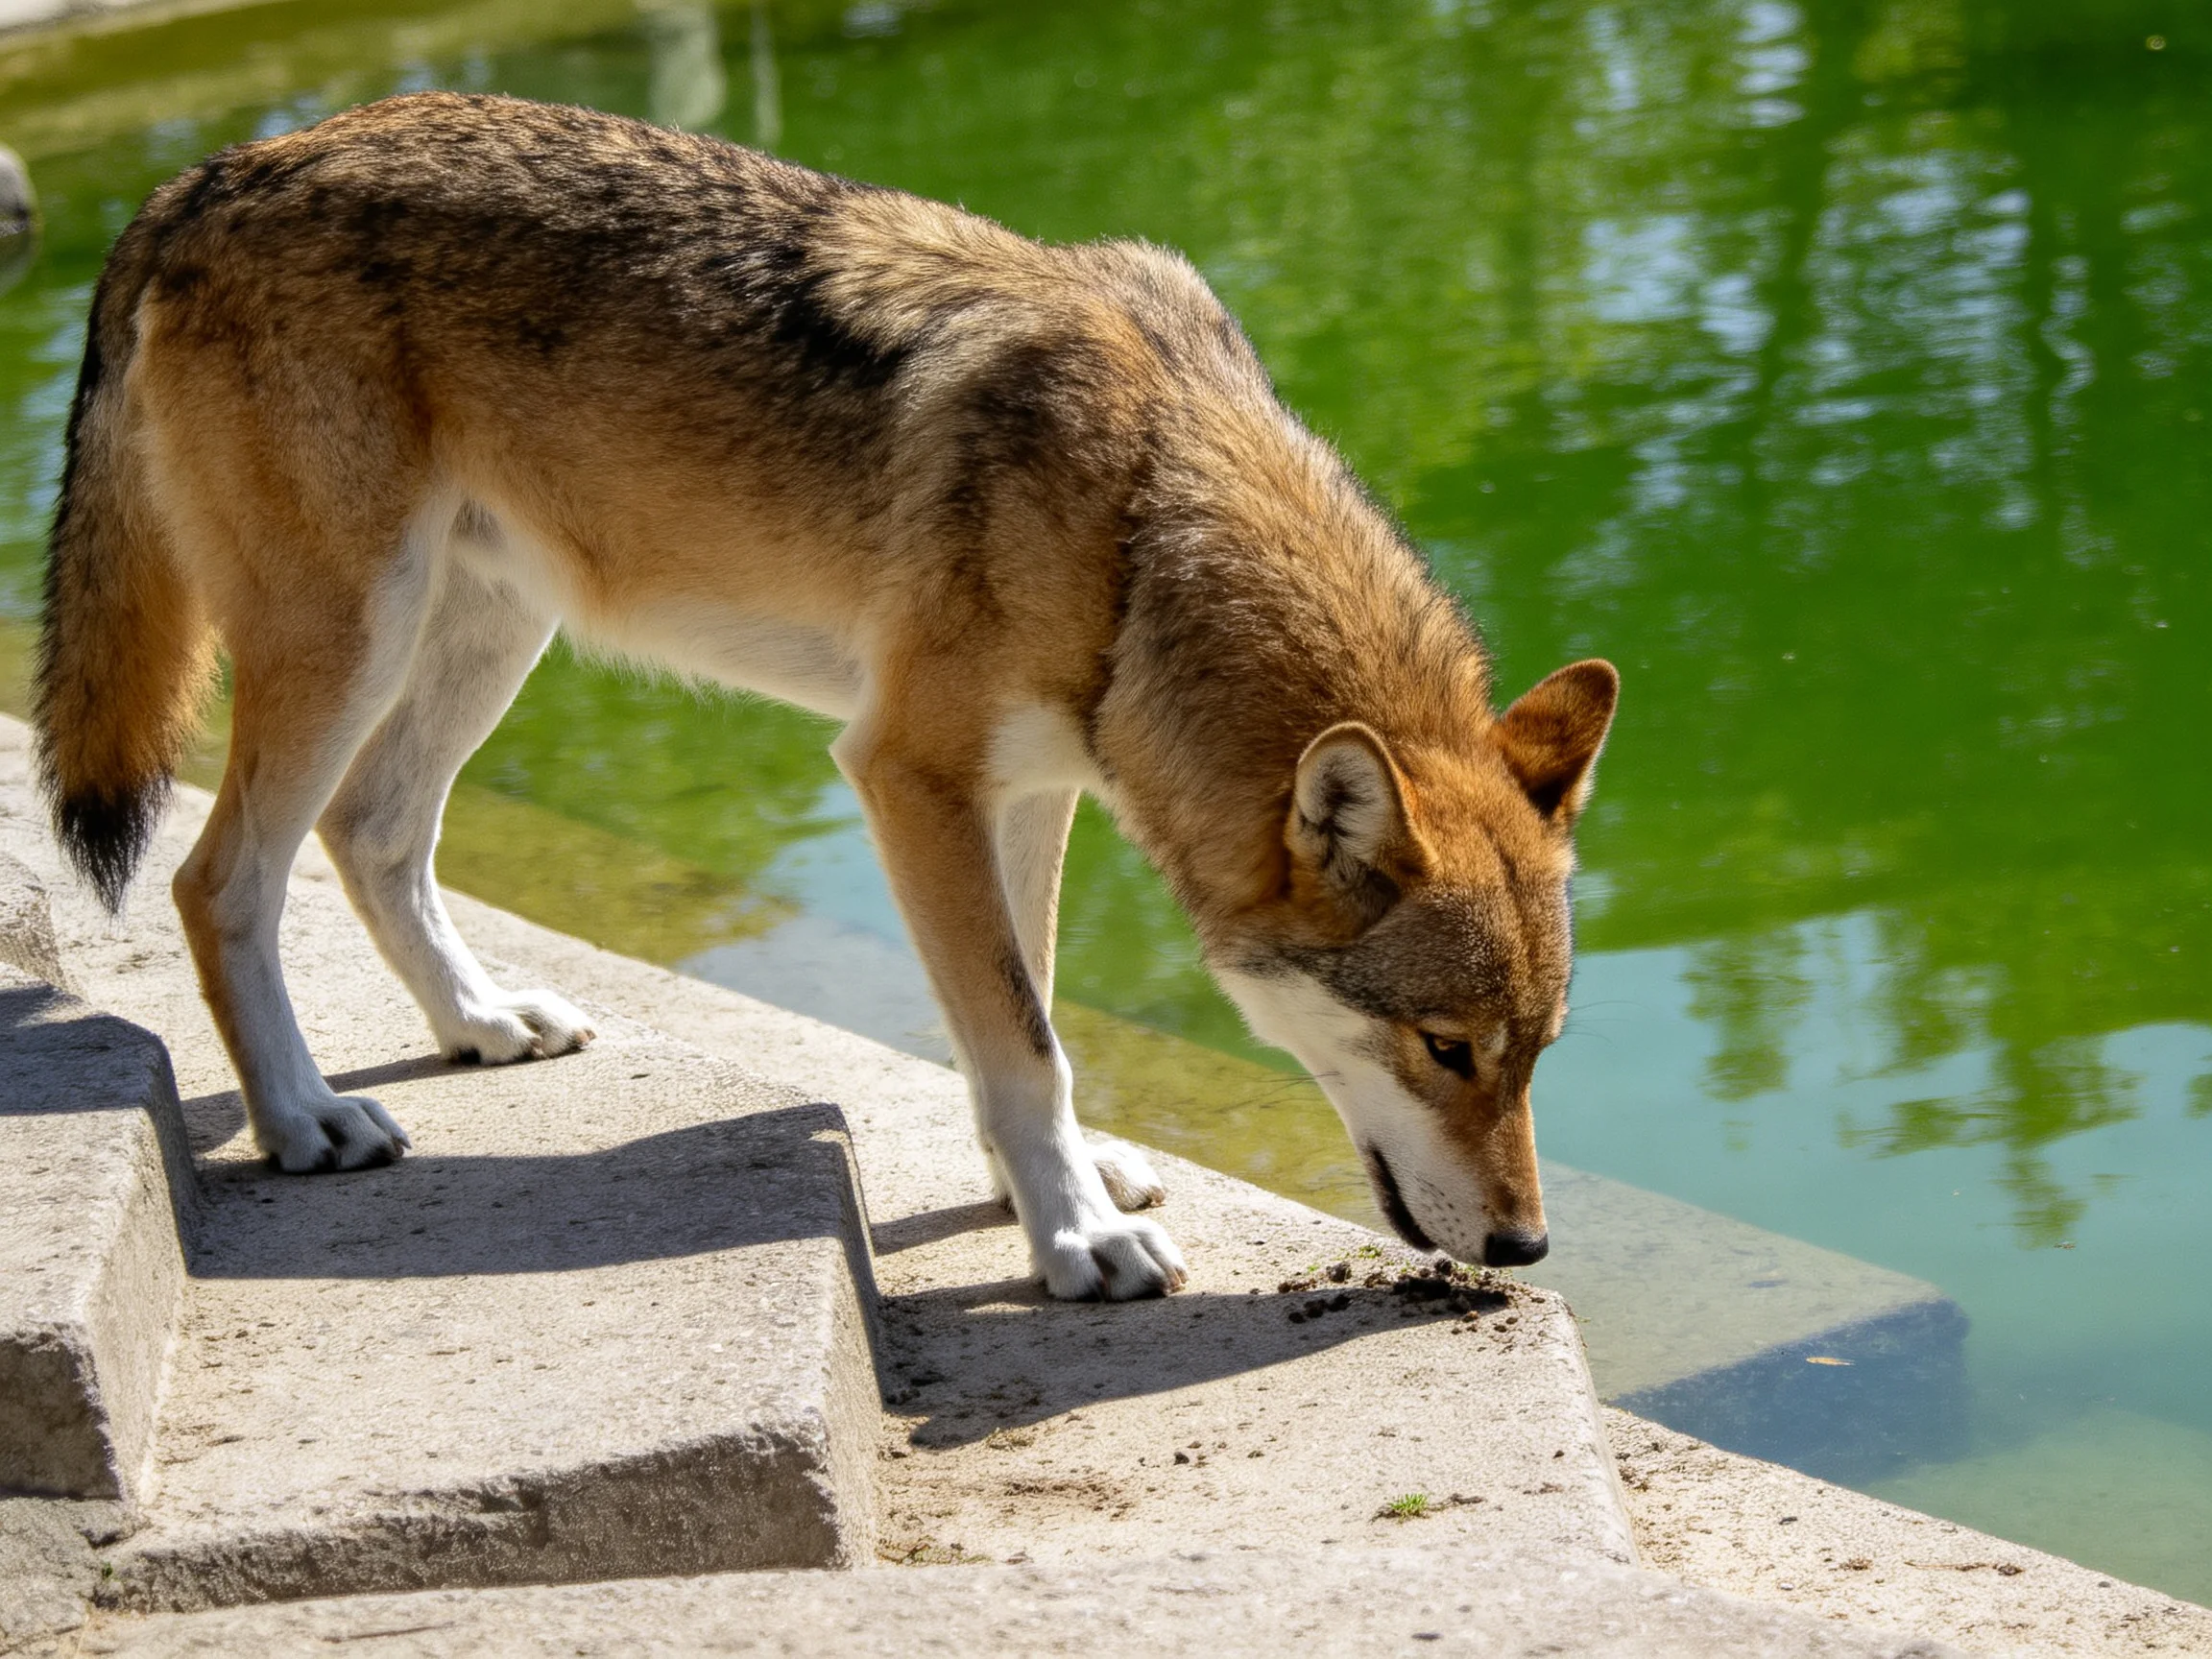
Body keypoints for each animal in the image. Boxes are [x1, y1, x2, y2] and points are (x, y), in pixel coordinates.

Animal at [36, 94, 1616, 1300]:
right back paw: (307, 1119)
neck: (1141, 517)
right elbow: (1019, 1037)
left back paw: (481, 1025)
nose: (1530, 1249)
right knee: (218, 880)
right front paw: (1073, 1239)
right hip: (349, 640)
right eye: (1446, 1050)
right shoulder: (909, 775)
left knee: (372, 833)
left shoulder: (1025, 793)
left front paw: (1053, 1190)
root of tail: (203, 176)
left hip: (488, 633)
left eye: (1540, 1054)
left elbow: (1033, 1009)